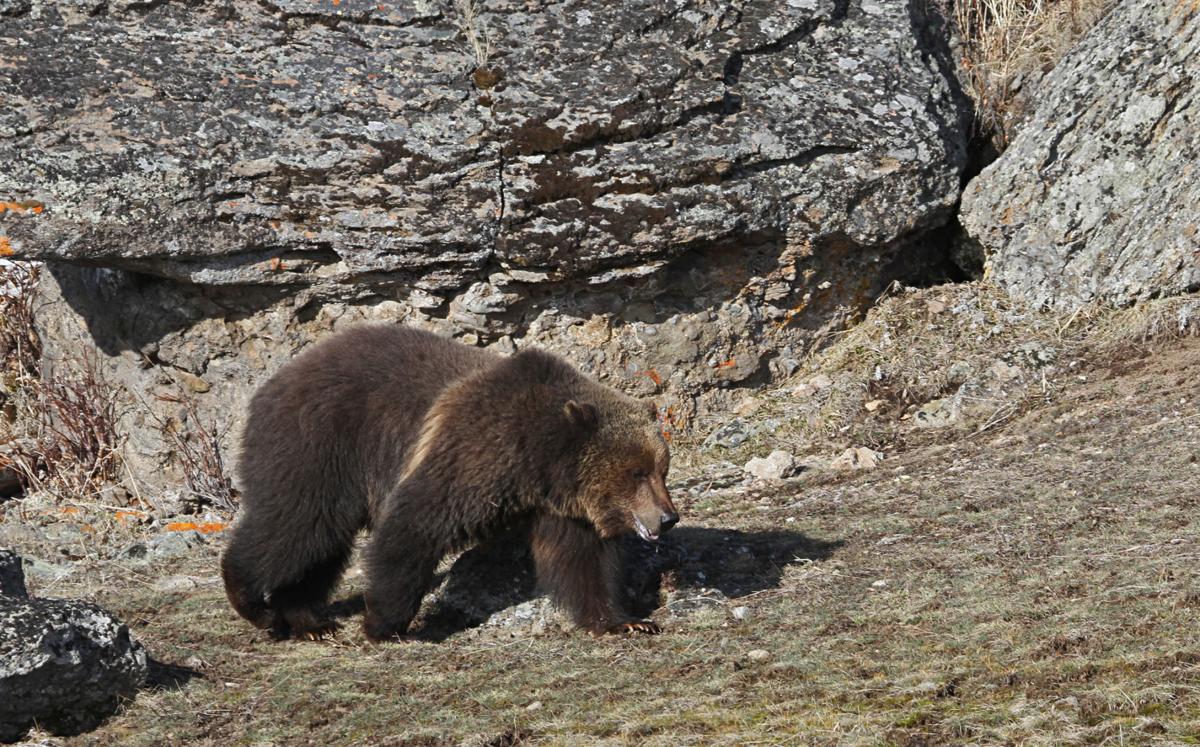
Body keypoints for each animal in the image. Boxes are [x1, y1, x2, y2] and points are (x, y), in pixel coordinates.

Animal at [222, 326, 681, 643]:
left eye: (661, 468)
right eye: (638, 471)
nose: (668, 517)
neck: (537, 462)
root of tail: (277, 378)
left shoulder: (564, 508)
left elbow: (584, 563)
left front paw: (627, 622)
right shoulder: (475, 451)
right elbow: (414, 525)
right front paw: (384, 623)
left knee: (321, 547)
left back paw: (308, 619)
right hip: (319, 445)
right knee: (297, 525)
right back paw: (253, 602)